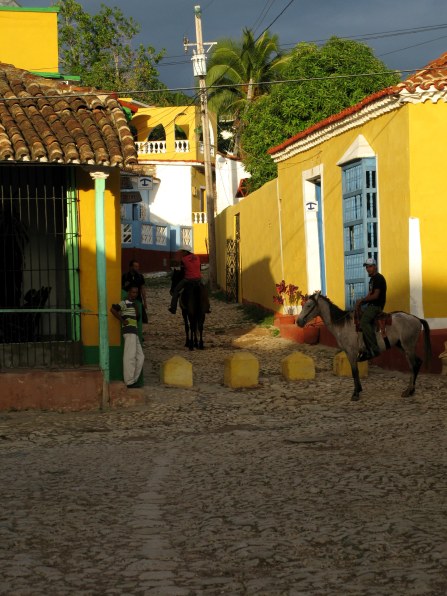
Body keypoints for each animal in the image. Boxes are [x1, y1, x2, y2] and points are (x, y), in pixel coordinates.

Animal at [300, 292, 432, 400]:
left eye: (308, 305)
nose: (298, 321)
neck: (342, 325)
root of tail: (417, 318)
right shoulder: (349, 352)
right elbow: (355, 372)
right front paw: (358, 390)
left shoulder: (351, 352)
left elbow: (355, 372)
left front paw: (356, 394)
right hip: (403, 347)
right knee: (414, 364)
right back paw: (409, 390)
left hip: (408, 346)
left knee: (415, 364)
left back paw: (409, 391)